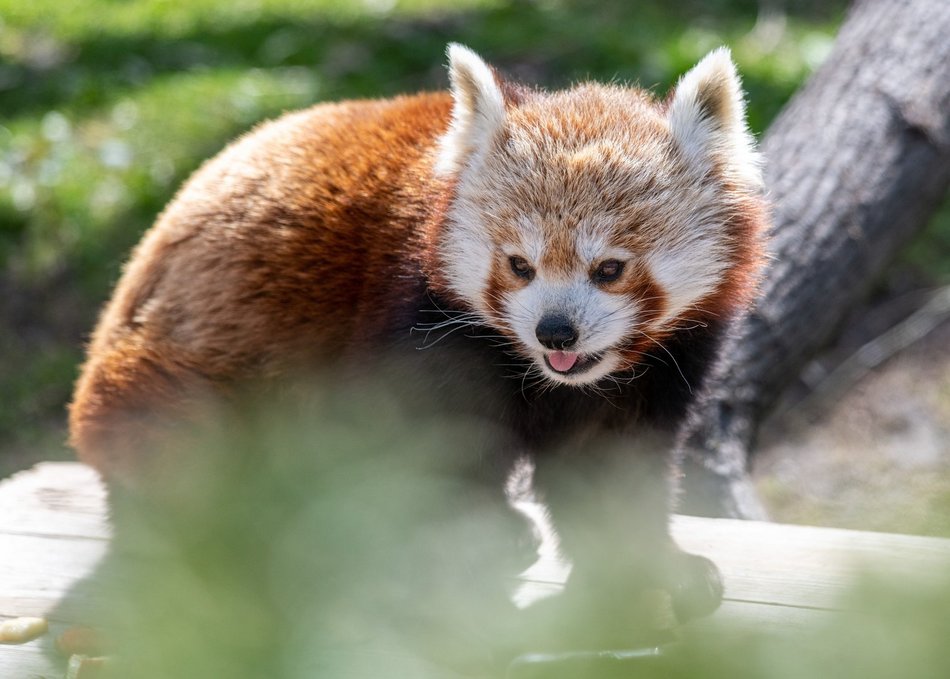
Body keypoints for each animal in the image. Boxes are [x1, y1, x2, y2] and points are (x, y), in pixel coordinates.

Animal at [69, 45, 768, 652]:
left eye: (610, 269)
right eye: (519, 266)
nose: (555, 331)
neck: (548, 375)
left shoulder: (660, 364)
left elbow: (610, 467)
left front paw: (652, 571)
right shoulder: (423, 326)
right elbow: (429, 451)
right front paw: (467, 543)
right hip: (174, 382)